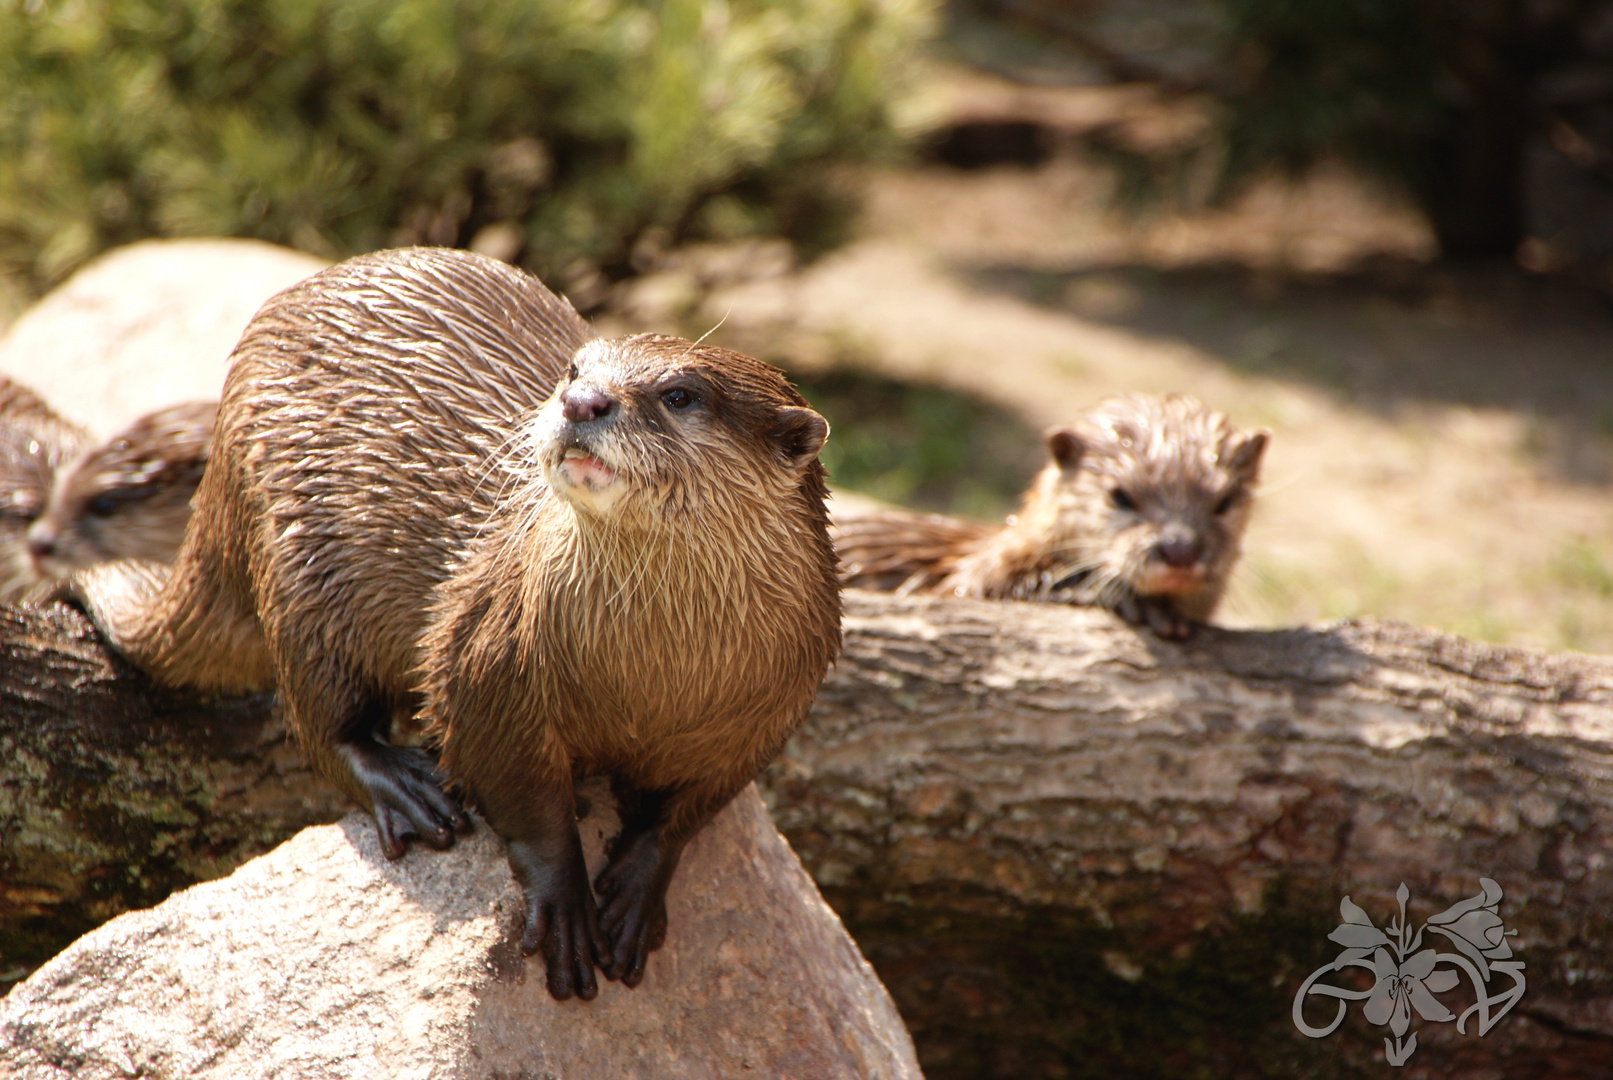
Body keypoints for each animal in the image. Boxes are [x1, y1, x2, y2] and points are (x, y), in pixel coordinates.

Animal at [85, 248, 845, 1005]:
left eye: (681, 395)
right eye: (575, 369)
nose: (582, 402)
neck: (655, 672)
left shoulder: (772, 712)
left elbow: (690, 810)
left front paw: (636, 890)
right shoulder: (488, 658)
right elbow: (520, 790)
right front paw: (565, 905)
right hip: (298, 558)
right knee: (318, 714)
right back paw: (403, 784)